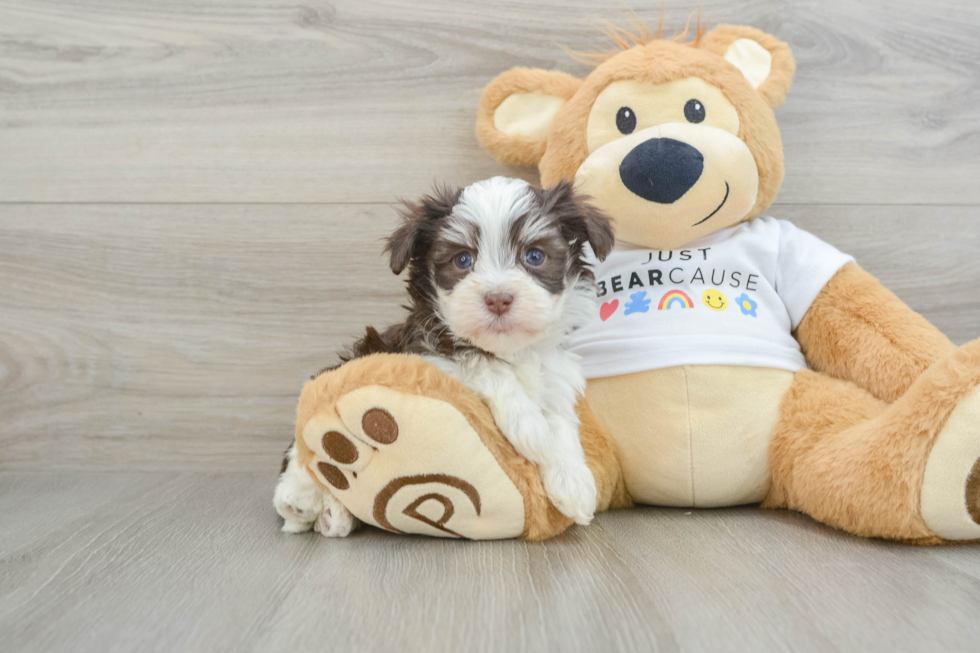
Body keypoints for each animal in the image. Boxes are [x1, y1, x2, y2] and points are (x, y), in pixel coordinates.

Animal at [276, 177, 612, 536]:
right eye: (463, 260)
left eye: (534, 256)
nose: (498, 298)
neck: (509, 348)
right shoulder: (425, 351)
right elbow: (484, 364)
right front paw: (531, 429)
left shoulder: (555, 373)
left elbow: (562, 421)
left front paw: (574, 482)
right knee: (303, 454)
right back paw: (300, 496)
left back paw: (334, 515)